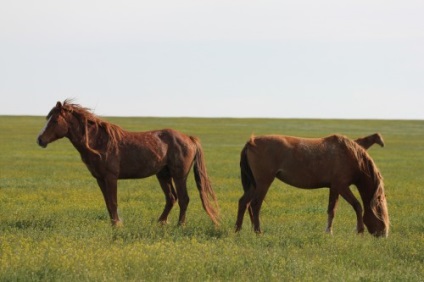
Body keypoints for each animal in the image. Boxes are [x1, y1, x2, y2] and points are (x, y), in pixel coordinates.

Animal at [37, 99, 219, 227]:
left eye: (54, 121)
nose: (40, 140)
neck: (98, 142)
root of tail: (189, 138)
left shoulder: (111, 177)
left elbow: (113, 202)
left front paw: (117, 225)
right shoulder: (100, 179)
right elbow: (108, 203)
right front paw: (114, 224)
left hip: (179, 176)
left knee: (183, 198)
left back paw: (180, 225)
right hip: (163, 175)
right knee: (171, 198)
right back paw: (161, 223)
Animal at [237, 134, 390, 238]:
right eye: (380, 208)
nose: (384, 233)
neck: (350, 155)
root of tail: (251, 142)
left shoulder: (334, 187)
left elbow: (332, 210)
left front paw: (329, 232)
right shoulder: (341, 186)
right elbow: (357, 206)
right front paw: (360, 231)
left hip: (254, 184)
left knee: (244, 202)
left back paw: (238, 230)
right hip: (263, 182)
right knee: (255, 204)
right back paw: (258, 232)